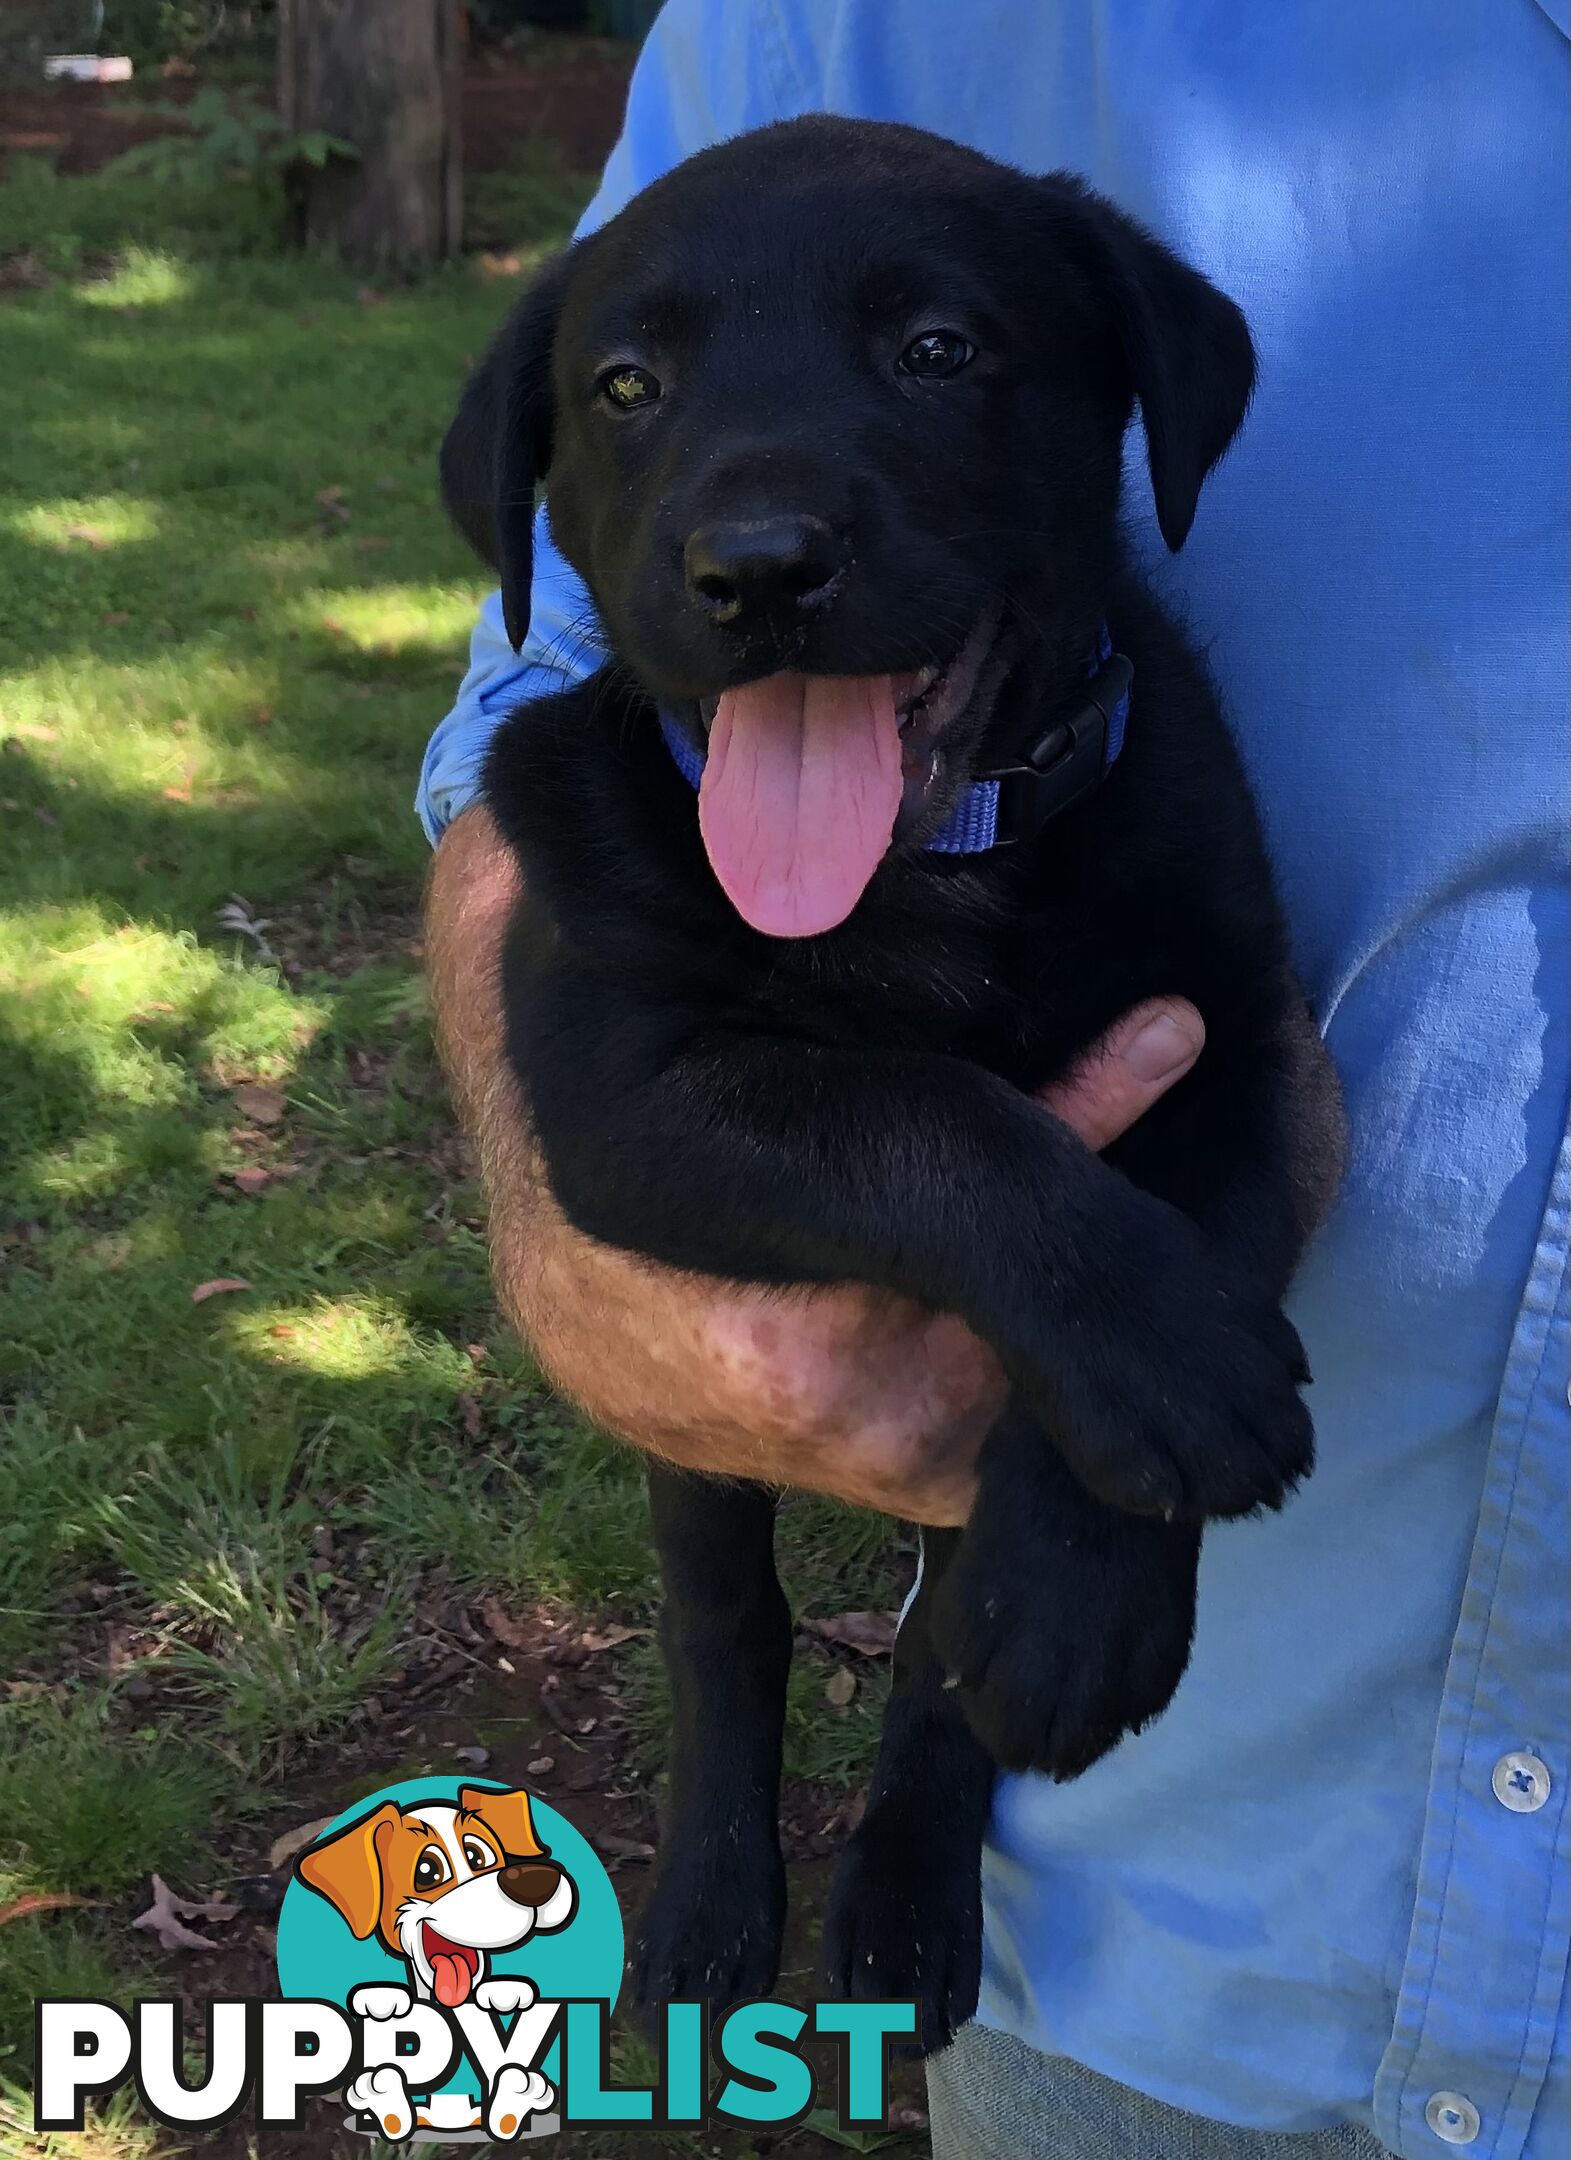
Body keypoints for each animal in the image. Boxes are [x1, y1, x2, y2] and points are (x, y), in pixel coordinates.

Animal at [438, 122, 1339, 2056]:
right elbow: (929, 1120)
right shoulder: (625, 1101)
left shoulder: (1241, 1046)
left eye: (936, 351)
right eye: (624, 388)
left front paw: (1076, 1589)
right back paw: (712, 1908)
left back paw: (913, 1891)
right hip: (684, 1440)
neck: (926, 880)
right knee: (723, 1625)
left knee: (931, 1659)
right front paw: (1168, 1370)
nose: (758, 569)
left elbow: (1187, 1219)